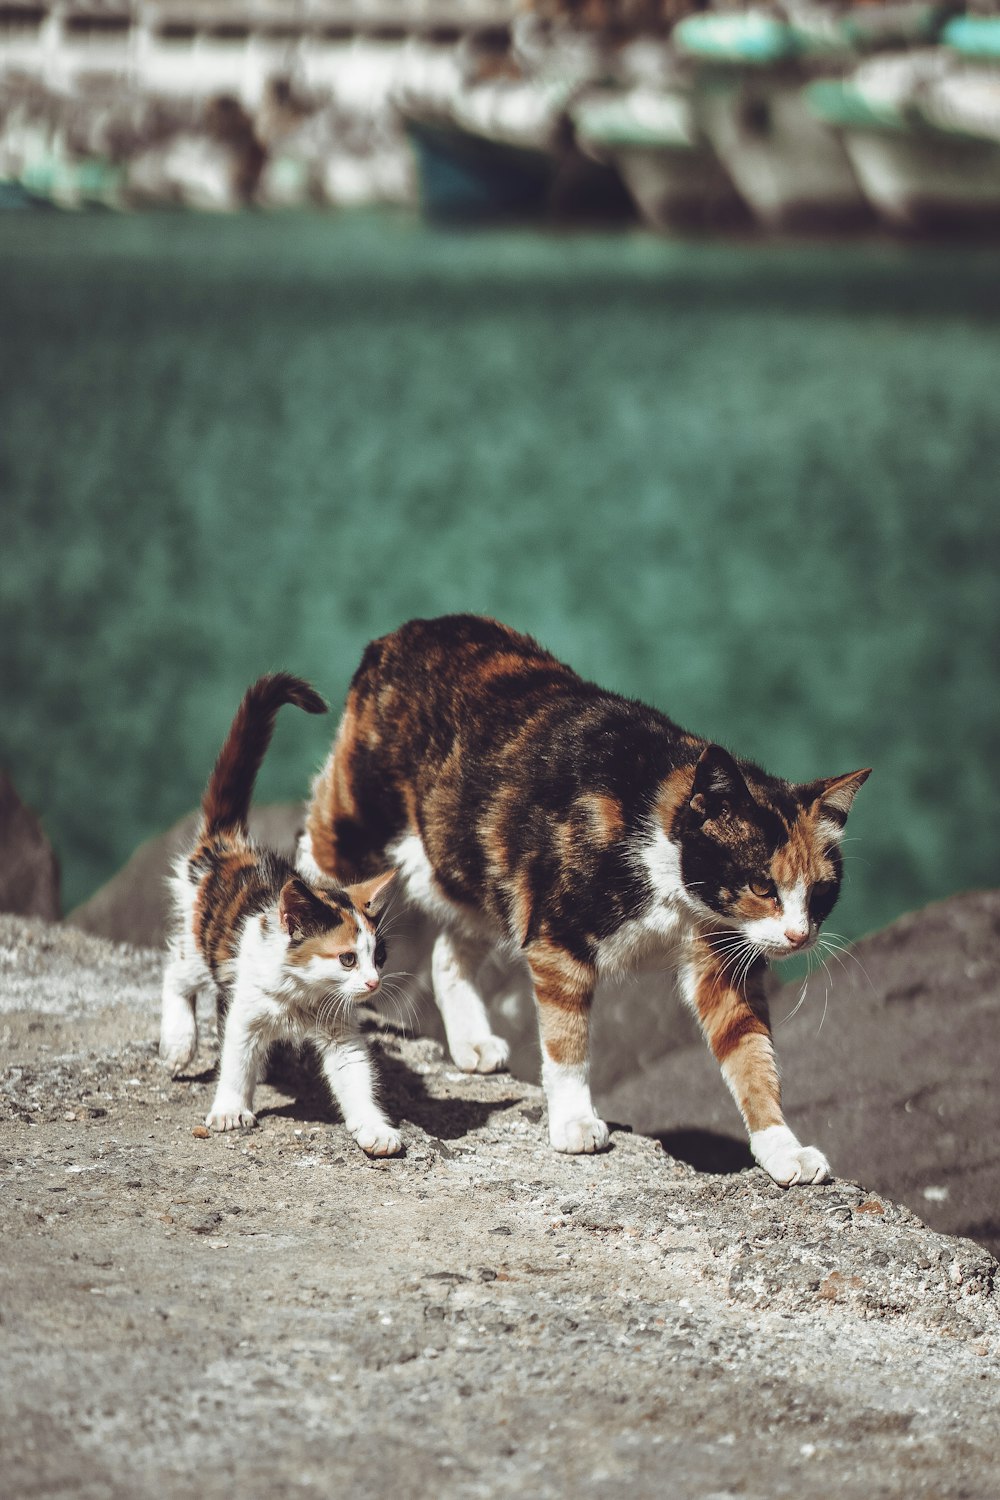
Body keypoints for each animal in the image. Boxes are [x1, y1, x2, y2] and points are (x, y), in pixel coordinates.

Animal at [158, 675, 401, 1152]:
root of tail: (228, 845)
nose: (373, 983)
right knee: (176, 971)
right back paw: (178, 1042)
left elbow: (355, 1076)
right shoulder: (250, 1006)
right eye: (348, 958)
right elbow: (236, 1057)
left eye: (379, 957)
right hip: (202, 943)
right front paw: (230, 1108)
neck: (304, 995)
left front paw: (374, 1128)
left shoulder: (340, 1030)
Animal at [301, 609, 869, 1182]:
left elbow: (752, 1055)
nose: (799, 936)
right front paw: (574, 1122)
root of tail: (406, 631)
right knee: (315, 851)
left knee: (447, 951)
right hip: (359, 827)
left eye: (821, 893)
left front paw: (781, 1147)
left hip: (479, 873)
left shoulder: (722, 961)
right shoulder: (559, 941)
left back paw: (470, 1042)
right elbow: (567, 1042)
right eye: (761, 886)